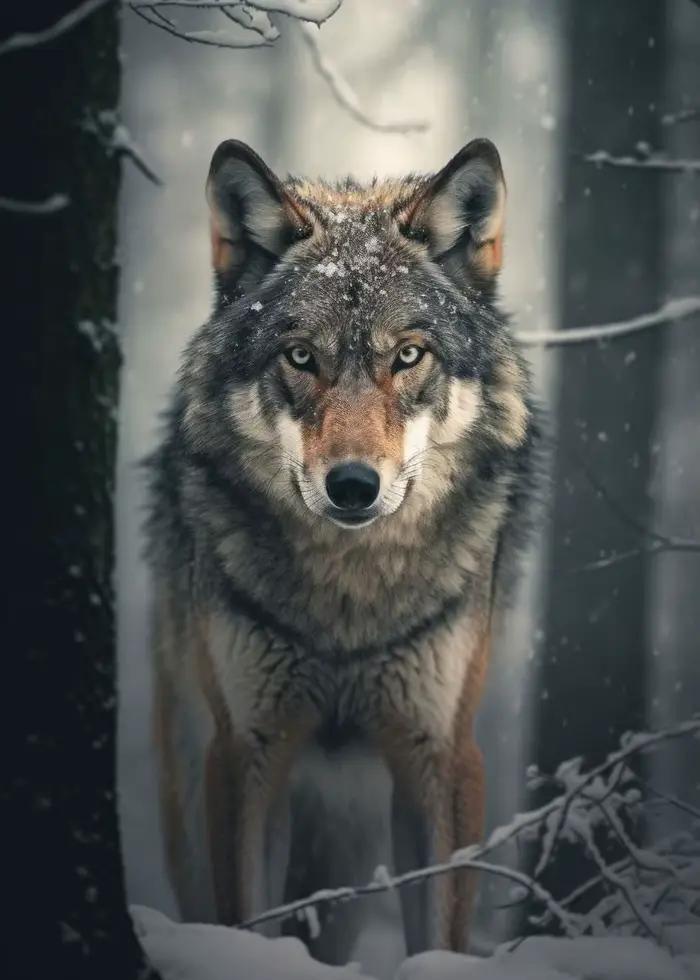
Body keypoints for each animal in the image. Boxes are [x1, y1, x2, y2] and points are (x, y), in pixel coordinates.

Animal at [145, 137, 541, 963]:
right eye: (300, 357)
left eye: (409, 355)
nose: (353, 486)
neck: (348, 600)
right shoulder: (243, 752)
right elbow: (244, 918)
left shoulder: (443, 753)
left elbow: (441, 933)